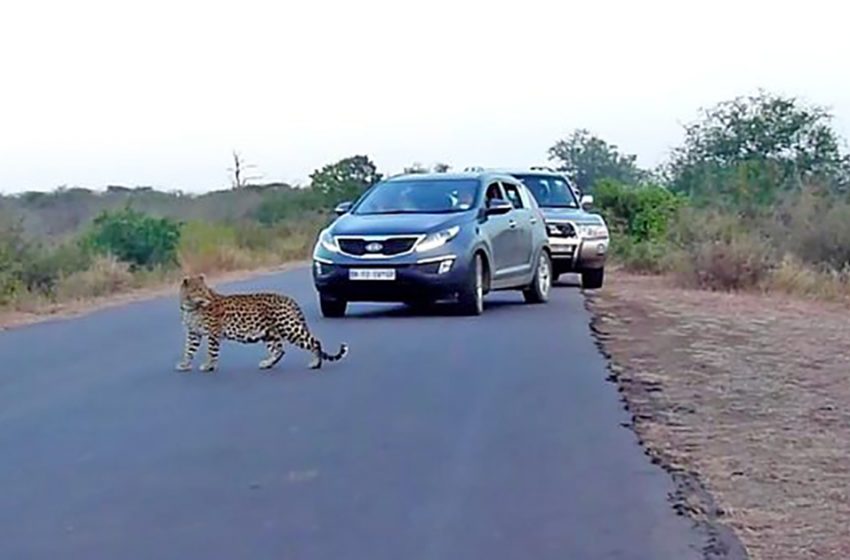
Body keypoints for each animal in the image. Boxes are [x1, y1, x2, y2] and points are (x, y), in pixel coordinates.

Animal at [174, 274, 346, 374]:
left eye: (205, 289)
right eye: (198, 290)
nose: (208, 297)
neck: (190, 308)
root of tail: (289, 299)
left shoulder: (213, 333)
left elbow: (211, 351)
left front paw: (209, 366)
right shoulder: (193, 334)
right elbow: (188, 350)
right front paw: (185, 365)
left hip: (289, 328)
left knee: (314, 341)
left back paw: (316, 363)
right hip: (269, 333)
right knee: (279, 350)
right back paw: (267, 364)